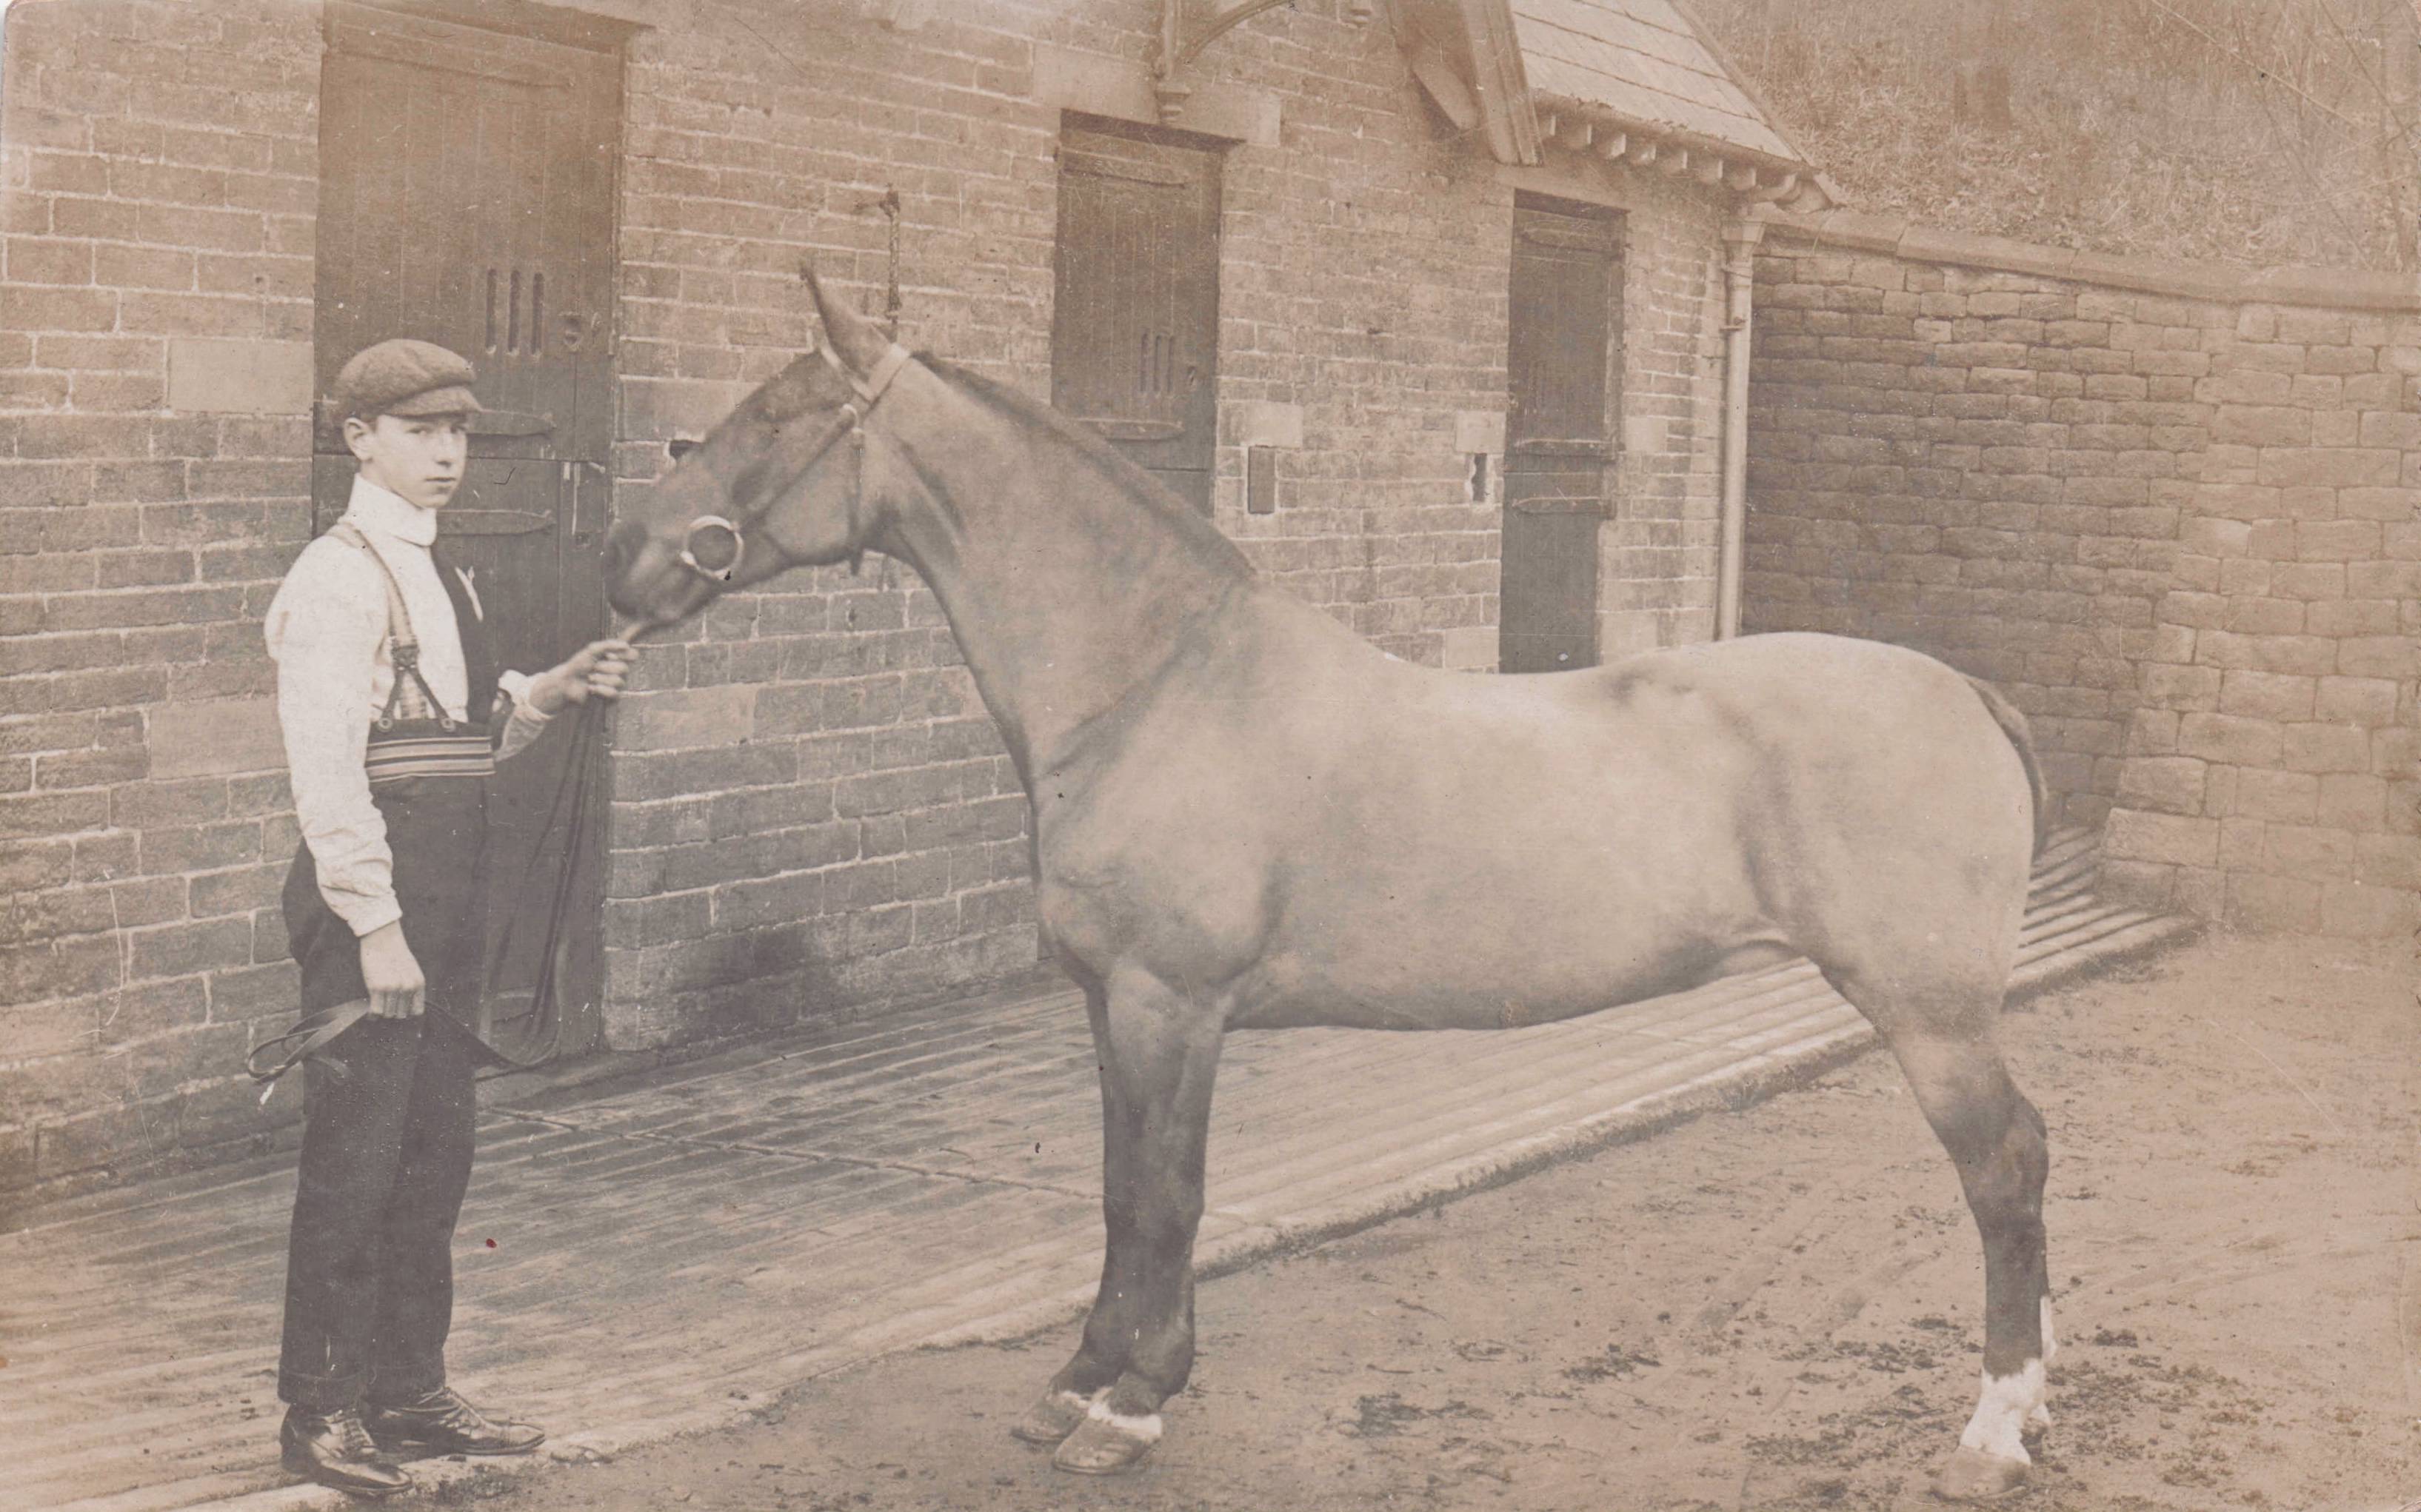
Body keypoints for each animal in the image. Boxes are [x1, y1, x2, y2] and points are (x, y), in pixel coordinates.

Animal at [605, 273, 2057, 1501]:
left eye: (775, 416)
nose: (630, 563)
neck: (1156, 683)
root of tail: (1965, 691)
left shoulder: (1171, 1005)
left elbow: (1168, 1195)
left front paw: (1132, 1404)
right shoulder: (1108, 1005)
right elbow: (1116, 1186)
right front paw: (1077, 1379)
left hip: (1929, 1017)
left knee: (2002, 1167)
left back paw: (1993, 1428)